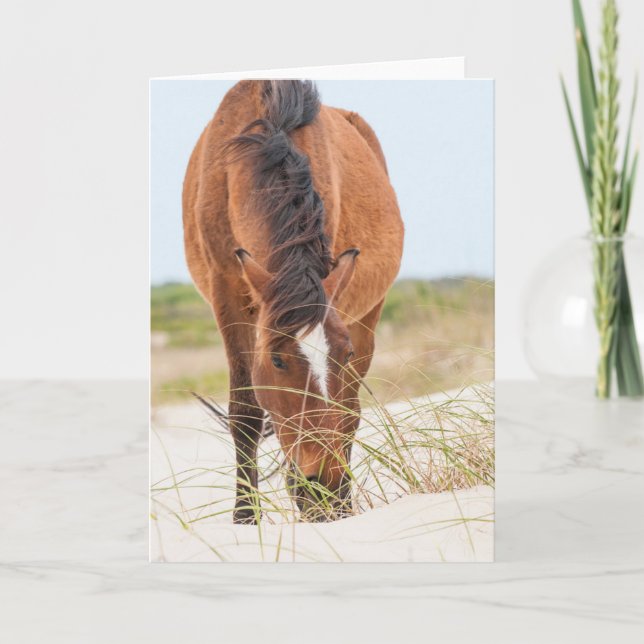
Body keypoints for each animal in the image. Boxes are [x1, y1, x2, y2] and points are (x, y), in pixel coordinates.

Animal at [183, 80, 403, 523]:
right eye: (278, 360)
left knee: (351, 410)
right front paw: (245, 517)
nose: (324, 486)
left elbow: (342, 411)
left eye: (344, 354)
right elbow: (246, 413)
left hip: (369, 316)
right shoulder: (226, 294)